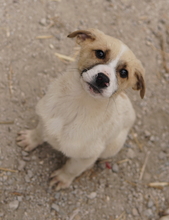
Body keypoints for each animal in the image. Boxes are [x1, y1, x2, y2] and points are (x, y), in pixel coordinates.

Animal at [16, 28, 145, 191]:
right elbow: (39, 132)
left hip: (113, 146)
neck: (77, 104)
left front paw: (62, 178)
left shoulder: (86, 157)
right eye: (100, 53)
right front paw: (30, 139)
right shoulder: (45, 120)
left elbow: (72, 168)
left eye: (124, 73)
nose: (103, 79)